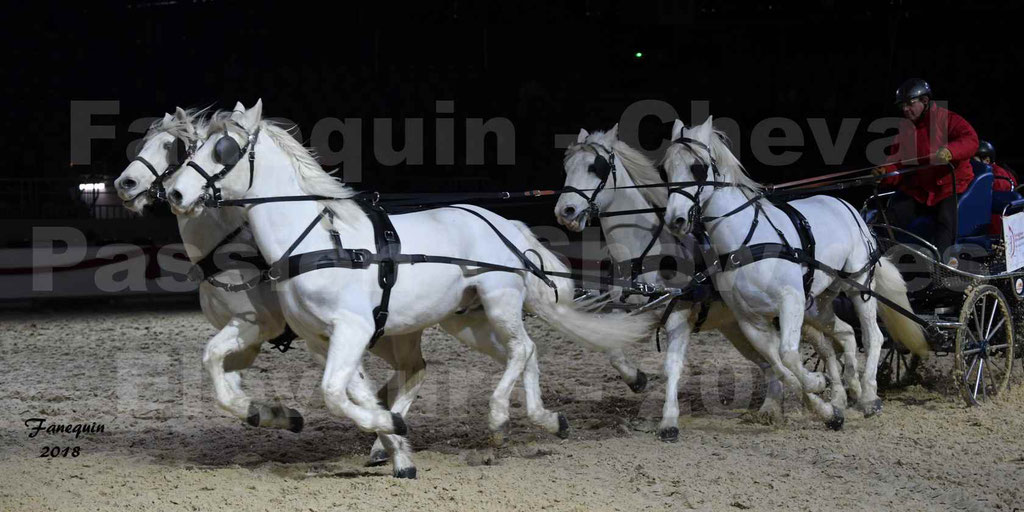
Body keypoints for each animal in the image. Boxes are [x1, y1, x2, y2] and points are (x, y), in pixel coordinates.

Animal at [162, 100, 651, 479]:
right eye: (193, 146)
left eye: (224, 148)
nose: (175, 192)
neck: (318, 242)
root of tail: (502, 222)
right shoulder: (323, 339)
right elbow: (352, 391)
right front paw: (395, 446)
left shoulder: (352, 329)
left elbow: (334, 394)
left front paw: (391, 428)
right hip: (467, 321)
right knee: (522, 353)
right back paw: (548, 421)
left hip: (499, 302)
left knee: (522, 348)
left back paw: (499, 418)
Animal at [552, 124, 856, 436]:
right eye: (567, 167)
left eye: (596, 167)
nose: (565, 211)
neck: (646, 252)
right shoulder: (629, 311)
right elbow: (612, 351)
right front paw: (636, 379)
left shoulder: (678, 314)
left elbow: (672, 365)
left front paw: (669, 421)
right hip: (740, 325)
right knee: (778, 363)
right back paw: (788, 407)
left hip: (797, 312)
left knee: (820, 349)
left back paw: (835, 398)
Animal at [663, 116, 929, 423]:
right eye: (667, 169)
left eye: (697, 167)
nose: (675, 220)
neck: (746, 241)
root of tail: (849, 207)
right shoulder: (749, 319)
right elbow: (777, 363)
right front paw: (820, 397)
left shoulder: (791, 301)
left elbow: (788, 354)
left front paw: (816, 382)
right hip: (820, 302)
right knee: (846, 333)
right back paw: (850, 387)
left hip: (859, 284)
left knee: (873, 336)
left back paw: (869, 396)